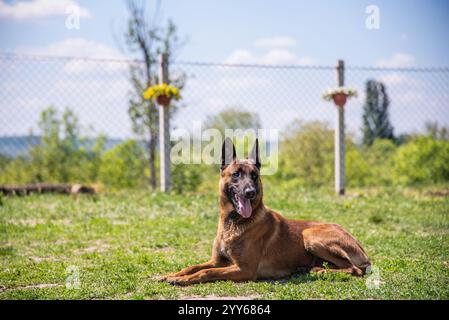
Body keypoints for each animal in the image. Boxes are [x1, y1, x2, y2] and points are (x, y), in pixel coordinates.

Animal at [159, 138, 370, 284]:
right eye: (236, 175)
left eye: (254, 176)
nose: (250, 192)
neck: (233, 223)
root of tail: (360, 246)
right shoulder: (218, 261)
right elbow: (192, 266)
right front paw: (172, 275)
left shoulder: (244, 269)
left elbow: (205, 271)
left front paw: (183, 280)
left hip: (310, 234)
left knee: (354, 270)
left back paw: (319, 271)